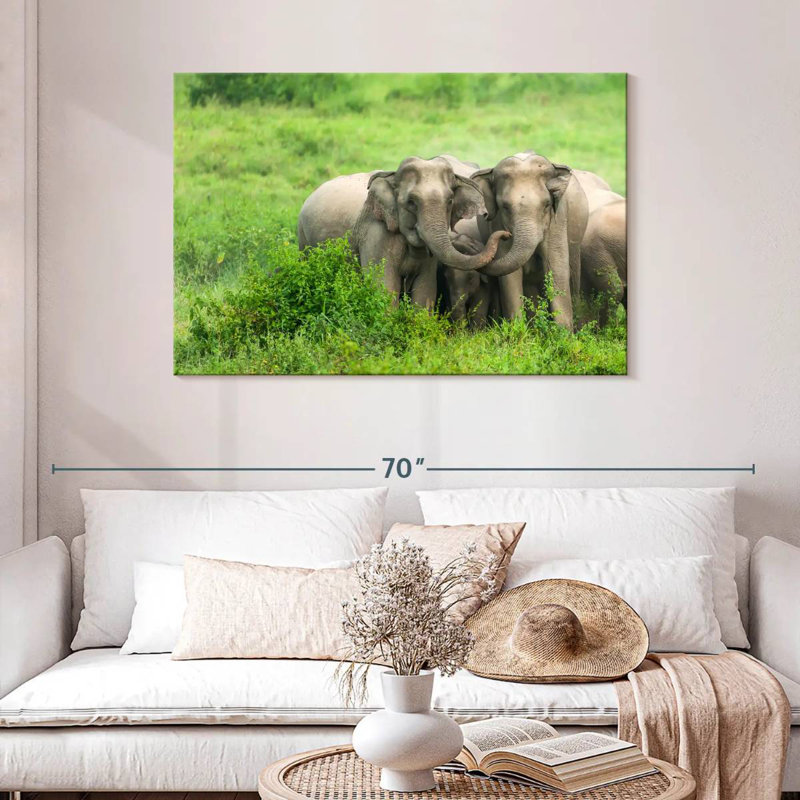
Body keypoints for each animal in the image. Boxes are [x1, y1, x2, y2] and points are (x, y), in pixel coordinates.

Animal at [297, 156, 510, 309]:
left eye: (450, 201)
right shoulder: (375, 235)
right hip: (302, 238)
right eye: (411, 202)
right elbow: (384, 286)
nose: (506, 235)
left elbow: (425, 290)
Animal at [471, 151, 589, 330]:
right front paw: (517, 331)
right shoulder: (497, 221)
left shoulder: (558, 219)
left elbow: (556, 266)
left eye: (547, 204)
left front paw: (563, 334)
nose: (504, 235)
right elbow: (509, 275)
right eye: (505, 207)